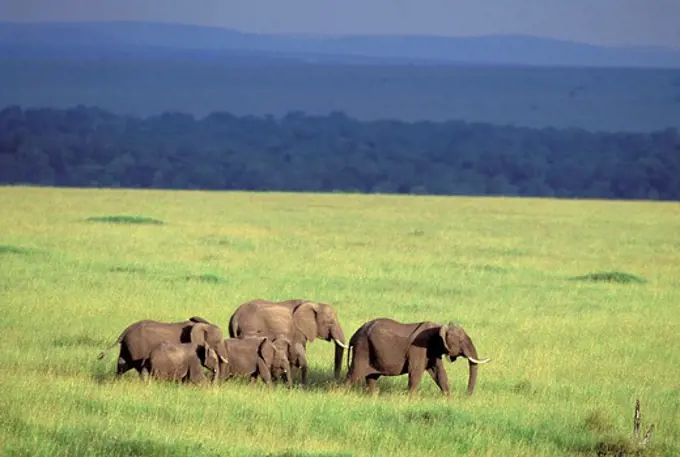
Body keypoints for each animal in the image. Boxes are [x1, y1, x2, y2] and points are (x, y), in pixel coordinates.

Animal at [346, 318, 488, 396]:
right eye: (461, 341)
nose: (466, 395)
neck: (438, 326)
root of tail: (354, 334)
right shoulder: (419, 348)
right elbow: (416, 372)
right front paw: (412, 399)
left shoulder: (432, 351)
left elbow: (439, 373)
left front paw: (448, 398)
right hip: (362, 349)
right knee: (354, 375)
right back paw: (344, 394)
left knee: (371, 378)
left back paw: (372, 396)